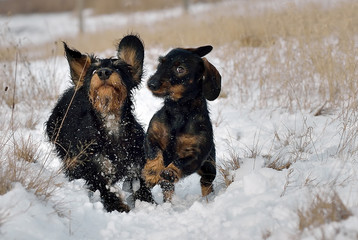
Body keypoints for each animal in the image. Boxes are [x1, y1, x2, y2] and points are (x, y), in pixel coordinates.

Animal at [45, 34, 152, 212]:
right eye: (93, 70)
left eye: (118, 67)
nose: (103, 72)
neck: (111, 123)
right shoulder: (95, 168)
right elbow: (106, 189)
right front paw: (118, 206)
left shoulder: (136, 165)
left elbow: (142, 189)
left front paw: (147, 203)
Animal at [143, 45, 221, 202]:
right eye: (161, 63)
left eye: (180, 69)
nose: (151, 83)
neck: (179, 111)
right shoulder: (151, 138)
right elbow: (155, 153)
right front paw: (152, 172)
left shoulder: (196, 155)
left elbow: (180, 162)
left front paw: (170, 172)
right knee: (167, 188)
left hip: (209, 167)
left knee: (206, 182)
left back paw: (207, 199)